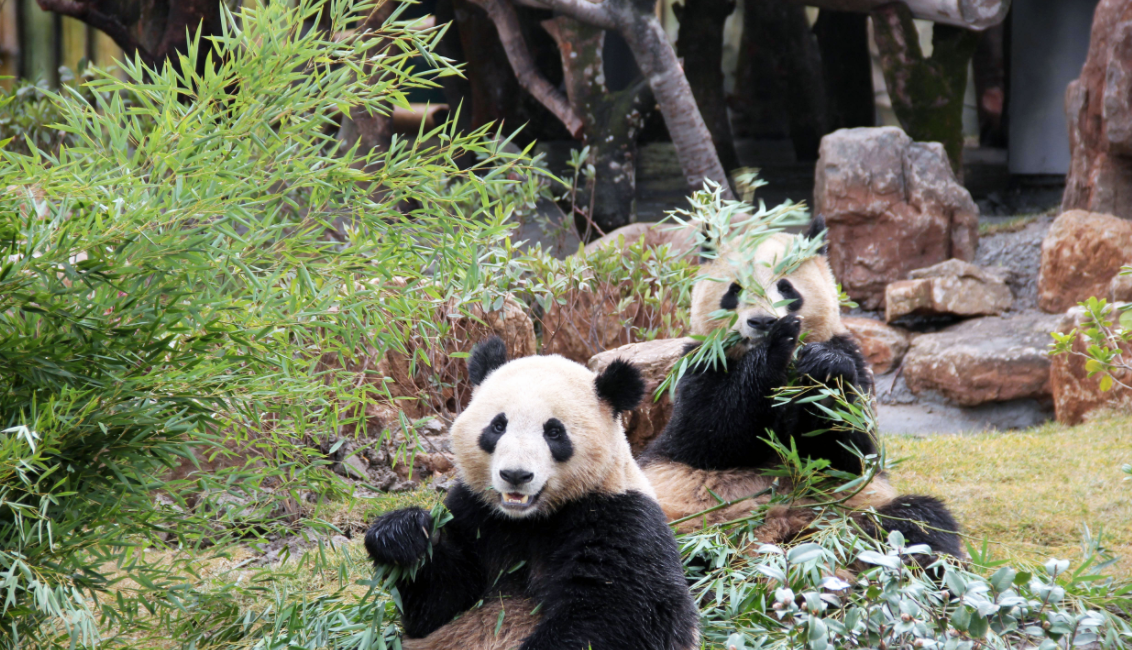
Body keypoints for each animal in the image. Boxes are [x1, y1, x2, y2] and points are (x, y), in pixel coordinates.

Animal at [362, 339, 697, 650]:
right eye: (498, 426)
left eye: (554, 432)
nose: (516, 475)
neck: (528, 519)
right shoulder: (475, 511)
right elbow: (440, 605)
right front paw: (402, 534)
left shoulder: (620, 520)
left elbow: (619, 612)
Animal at [638, 219, 964, 561]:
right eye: (734, 290)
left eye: (786, 287)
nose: (762, 321)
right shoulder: (702, 361)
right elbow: (709, 433)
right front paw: (775, 345)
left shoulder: (855, 364)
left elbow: (850, 453)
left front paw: (825, 365)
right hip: (684, 518)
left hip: (857, 509)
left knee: (916, 522)